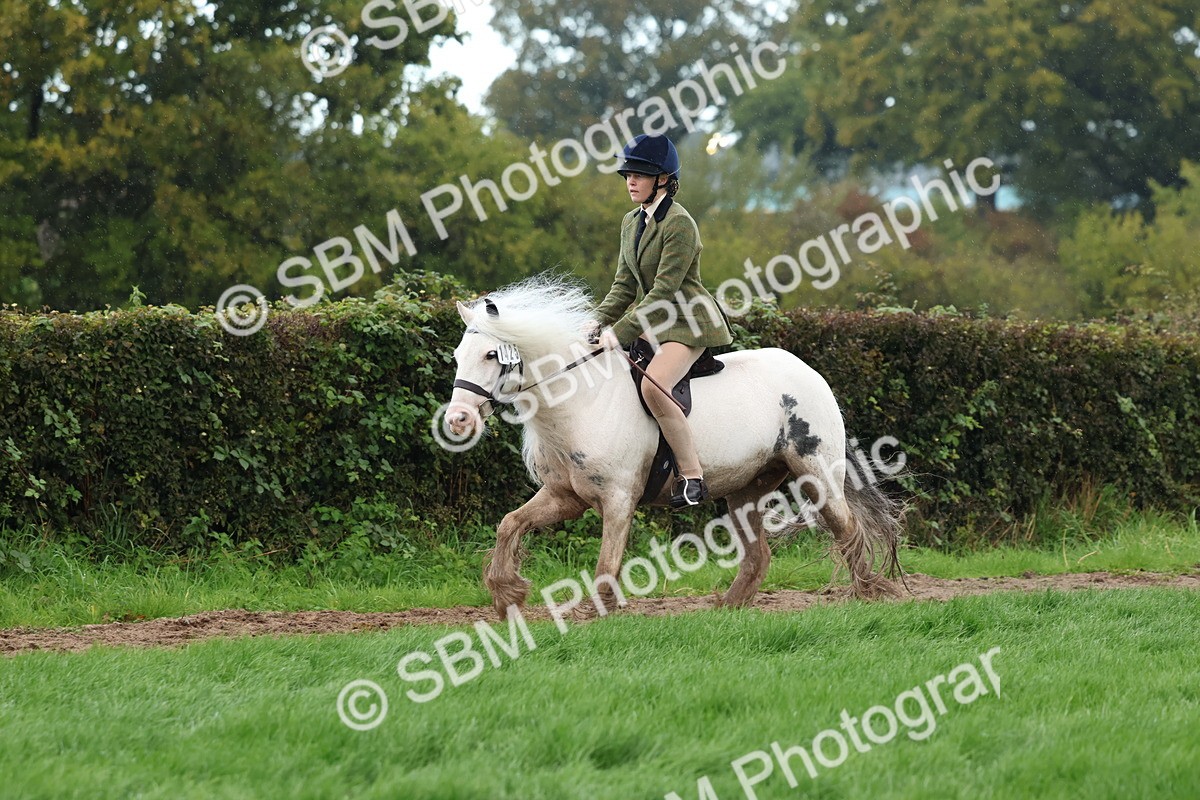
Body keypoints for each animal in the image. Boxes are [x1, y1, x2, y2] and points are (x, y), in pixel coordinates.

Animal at [442, 275, 903, 620]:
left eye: (491, 355)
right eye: (457, 355)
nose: (457, 421)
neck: (582, 400)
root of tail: (809, 371)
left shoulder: (619, 499)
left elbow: (606, 564)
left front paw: (597, 613)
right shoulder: (564, 496)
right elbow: (510, 524)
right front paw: (506, 595)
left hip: (816, 473)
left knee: (847, 528)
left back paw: (870, 593)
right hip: (746, 491)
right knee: (758, 556)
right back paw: (726, 609)